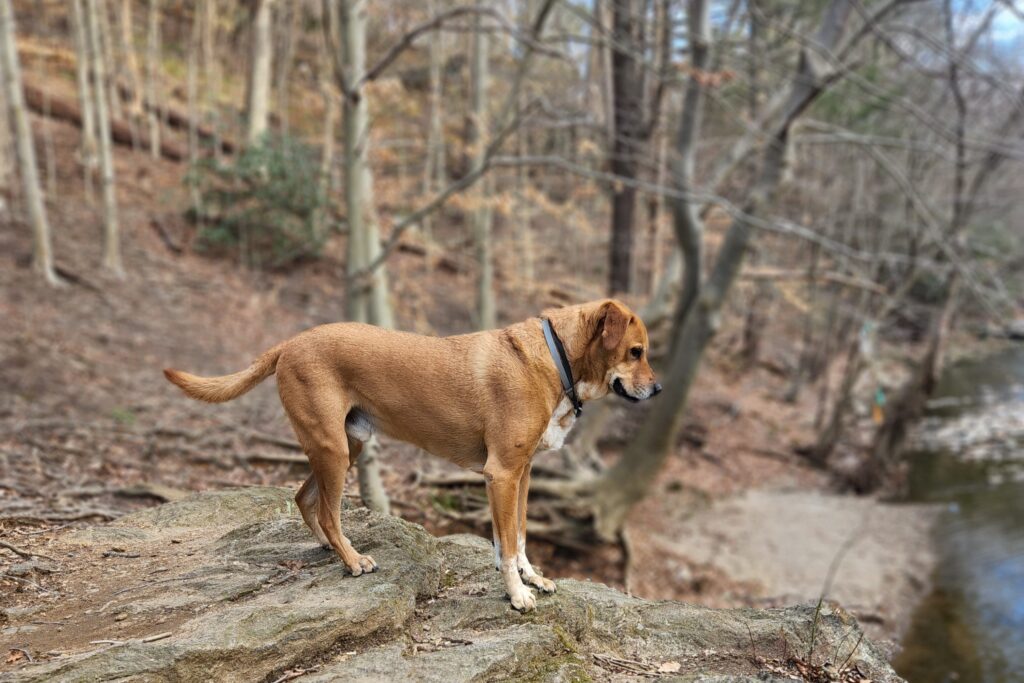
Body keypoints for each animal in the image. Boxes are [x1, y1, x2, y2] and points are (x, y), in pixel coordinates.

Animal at [163, 301, 659, 614]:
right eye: (636, 352)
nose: (657, 390)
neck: (556, 359)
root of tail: (290, 342)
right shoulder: (501, 474)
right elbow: (507, 541)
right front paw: (517, 595)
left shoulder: (522, 474)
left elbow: (516, 536)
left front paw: (530, 577)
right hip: (333, 449)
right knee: (327, 511)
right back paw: (352, 559)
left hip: (344, 445)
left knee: (305, 499)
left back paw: (330, 549)